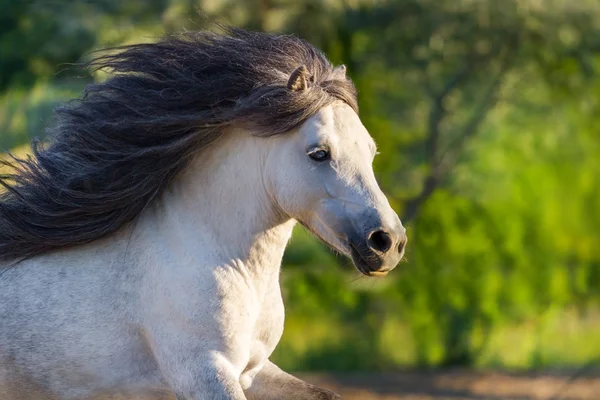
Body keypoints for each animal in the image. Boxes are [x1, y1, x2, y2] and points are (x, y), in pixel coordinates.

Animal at [0, 26, 406, 398]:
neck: (217, 257)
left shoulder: (254, 370)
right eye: (319, 153)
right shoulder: (204, 372)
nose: (388, 242)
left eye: (371, 152)